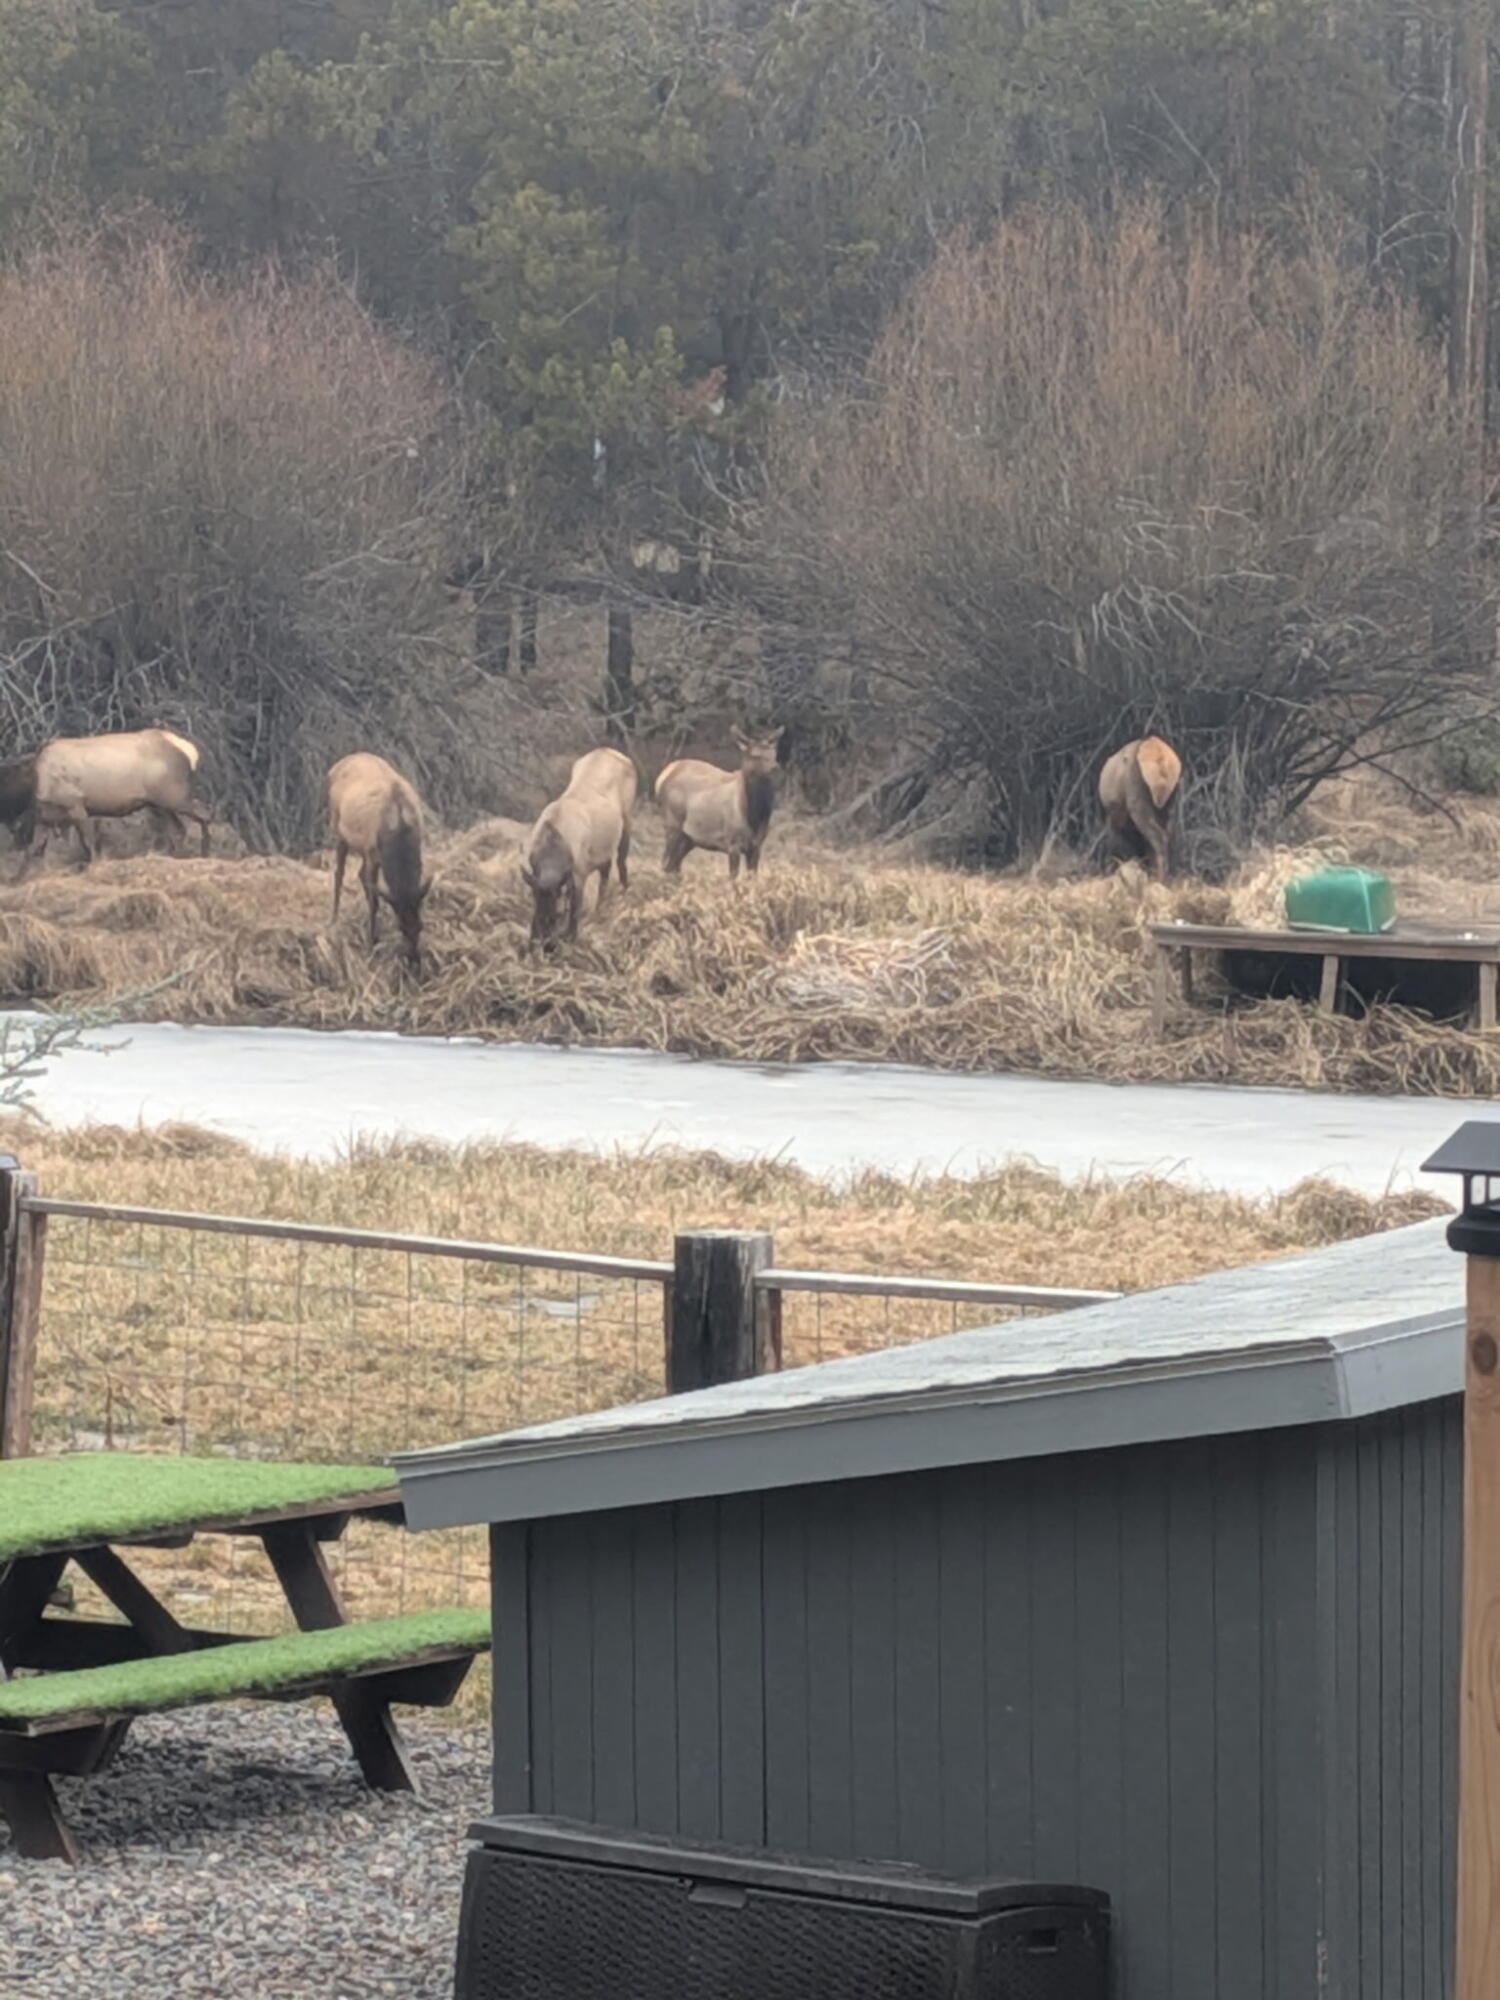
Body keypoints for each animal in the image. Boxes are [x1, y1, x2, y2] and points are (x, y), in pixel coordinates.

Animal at [22, 729, 210, 873]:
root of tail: (190, 751)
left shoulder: (77, 806)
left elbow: (88, 843)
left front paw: (95, 865)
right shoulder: (45, 817)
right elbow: (33, 849)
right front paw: (23, 876)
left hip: (174, 795)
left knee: (204, 814)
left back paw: (205, 853)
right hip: (158, 804)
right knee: (178, 829)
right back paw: (175, 856)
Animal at [326, 753, 431, 968]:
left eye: (421, 926)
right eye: (400, 928)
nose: (414, 961)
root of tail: (337, 764)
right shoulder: (373, 854)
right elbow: (373, 901)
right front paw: (370, 943)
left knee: (359, 874)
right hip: (337, 828)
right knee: (339, 873)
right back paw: (334, 920)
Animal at [521, 747, 637, 945]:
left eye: (559, 914)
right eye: (535, 905)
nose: (545, 944)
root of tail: (610, 750)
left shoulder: (579, 872)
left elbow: (575, 907)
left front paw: (571, 937)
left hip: (627, 817)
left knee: (621, 860)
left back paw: (625, 892)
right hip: (603, 847)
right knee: (606, 871)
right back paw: (600, 909)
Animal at [654, 727, 783, 880]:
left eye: (774, 753)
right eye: (755, 756)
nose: (776, 768)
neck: (754, 817)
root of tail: (663, 775)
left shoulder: (757, 845)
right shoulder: (732, 842)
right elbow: (733, 877)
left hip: (689, 838)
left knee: (674, 865)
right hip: (672, 824)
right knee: (666, 863)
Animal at [1098, 736, 1183, 883]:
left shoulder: (1114, 818)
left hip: (1137, 803)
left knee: (1158, 839)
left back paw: (1160, 878)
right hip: (1170, 804)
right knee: (1167, 837)